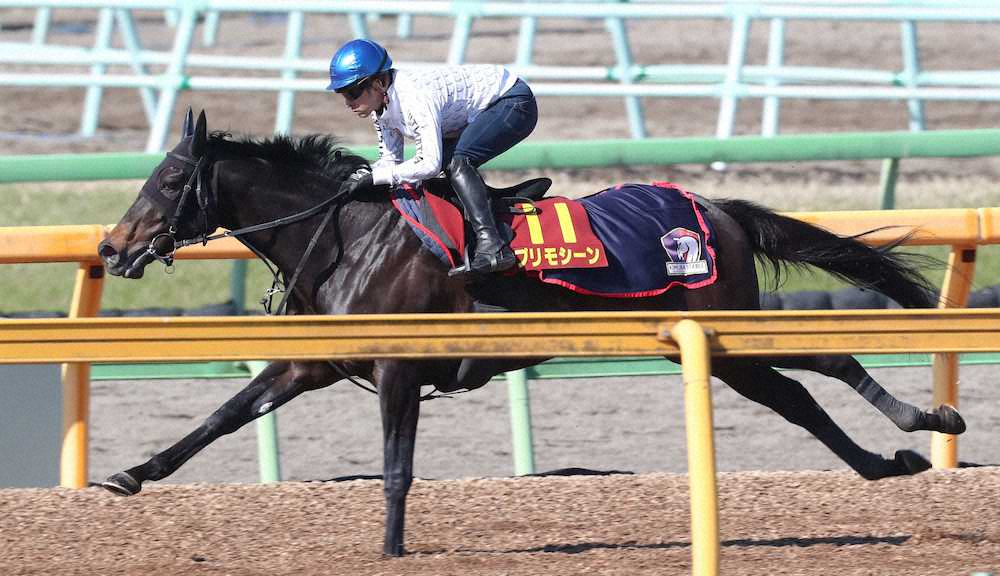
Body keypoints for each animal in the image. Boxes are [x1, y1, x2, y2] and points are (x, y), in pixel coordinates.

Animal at [97, 110, 965, 556]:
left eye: (168, 181)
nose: (110, 249)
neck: (347, 233)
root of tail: (719, 208)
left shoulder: (399, 367)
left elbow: (396, 469)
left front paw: (391, 548)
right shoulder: (316, 365)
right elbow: (222, 416)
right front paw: (130, 475)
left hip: (722, 321)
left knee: (826, 359)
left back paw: (926, 422)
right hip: (712, 340)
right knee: (795, 395)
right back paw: (887, 460)